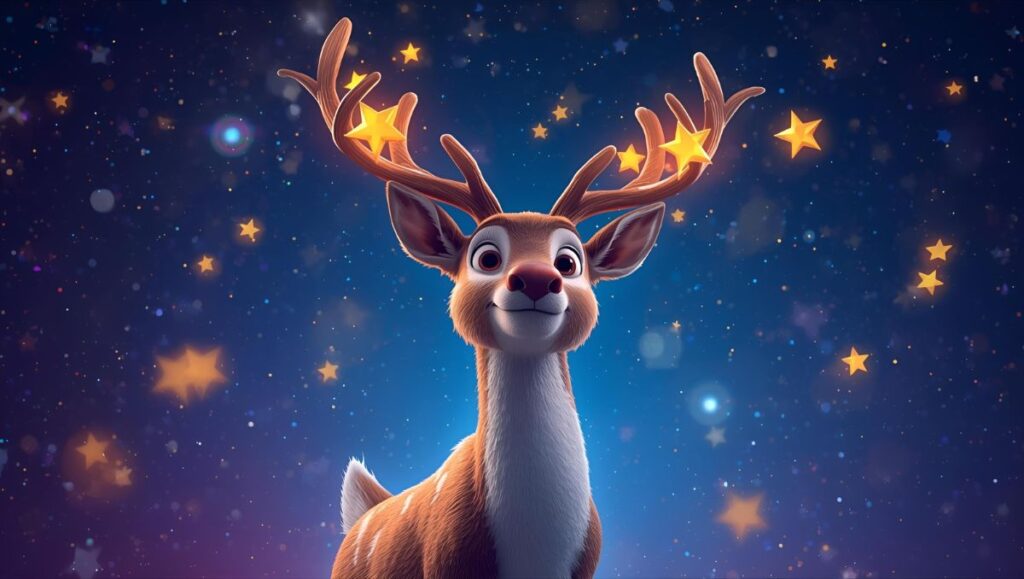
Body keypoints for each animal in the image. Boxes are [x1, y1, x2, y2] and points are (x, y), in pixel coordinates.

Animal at [279, 17, 763, 579]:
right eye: (485, 256)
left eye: (570, 262)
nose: (535, 279)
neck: (534, 545)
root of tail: (365, 513)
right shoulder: (444, 561)